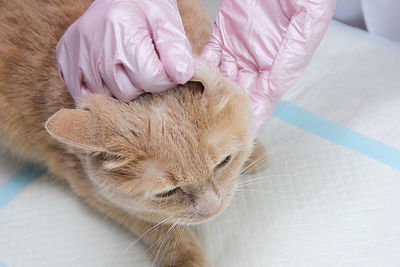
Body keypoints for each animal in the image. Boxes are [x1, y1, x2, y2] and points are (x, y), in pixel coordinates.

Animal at [1, 0, 268, 266]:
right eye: (167, 192)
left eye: (224, 162)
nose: (213, 210)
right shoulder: (87, 184)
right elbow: (156, 225)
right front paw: (186, 259)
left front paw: (253, 152)